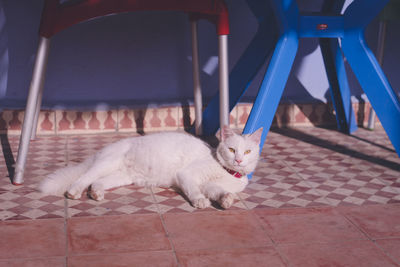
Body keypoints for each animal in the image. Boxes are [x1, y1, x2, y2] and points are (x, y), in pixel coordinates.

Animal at [36, 126, 262, 210]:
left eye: (247, 151)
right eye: (232, 149)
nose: (239, 160)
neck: (226, 171)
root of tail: (102, 150)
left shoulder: (210, 185)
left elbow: (218, 191)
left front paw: (226, 200)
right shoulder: (187, 175)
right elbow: (194, 190)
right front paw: (199, 201)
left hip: (121, 176)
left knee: (96, 182)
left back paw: (97, 194)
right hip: (107, 163)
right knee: (84, 177)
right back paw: (74, 192)